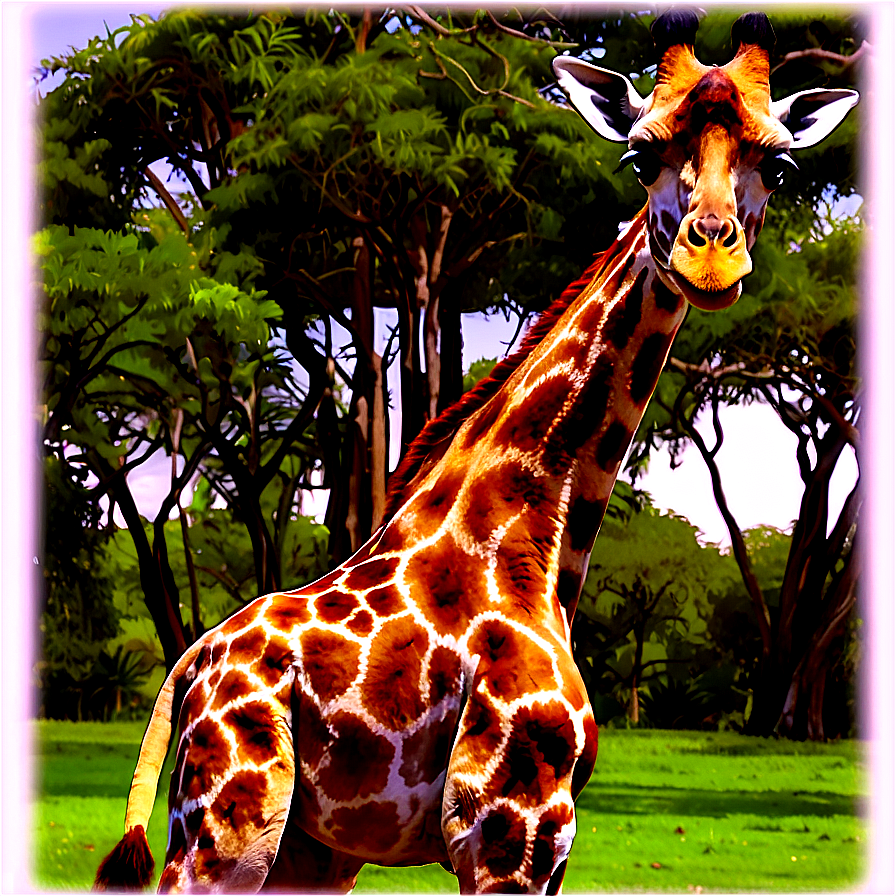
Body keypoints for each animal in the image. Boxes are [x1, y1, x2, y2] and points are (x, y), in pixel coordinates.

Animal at [95, 11, 857, 894]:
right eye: (639, 156)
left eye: (780, 162)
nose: (710, 256)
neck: (528, 542)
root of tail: (188, 665)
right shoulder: (511, 826)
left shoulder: (533, 838)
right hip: (230, 822)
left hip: (307, 848)